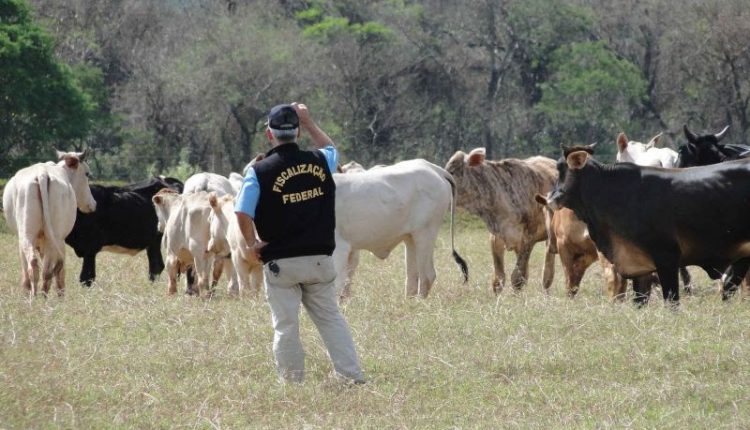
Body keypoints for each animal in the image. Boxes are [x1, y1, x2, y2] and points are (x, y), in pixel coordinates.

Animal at [2, 151, 97, 296]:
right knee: (47, 270)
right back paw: (45, 296)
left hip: (28, 236)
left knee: (36, 266)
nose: (93, 204)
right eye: (87, 174)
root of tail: (42, 174)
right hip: (54, 238)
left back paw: (35, 296)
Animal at [334, 158, 468, 298]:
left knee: (427, 275)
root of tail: (435, 169)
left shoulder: (340, 249)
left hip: (426, 233)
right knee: (412, 277)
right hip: (410, 238)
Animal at [446, 147, 560, 292]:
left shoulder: (528, 239)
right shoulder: (496, 238)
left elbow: (517, 278)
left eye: (452, 172)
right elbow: (498, 278)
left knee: (547, 272)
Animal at [548, 151, 750, 306]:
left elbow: (671, 301)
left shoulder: (667, 257)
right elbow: (639, 301)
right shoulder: (639, 267)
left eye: (561, 170)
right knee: (729, 287)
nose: (551, 197)